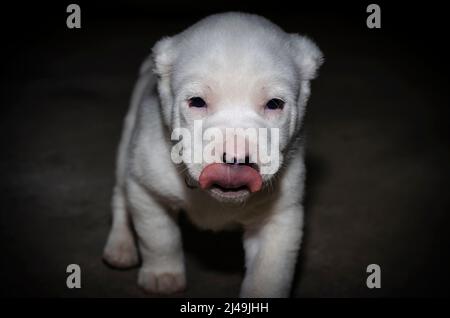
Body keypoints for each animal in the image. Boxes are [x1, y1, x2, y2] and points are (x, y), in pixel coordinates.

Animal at [103, 11, 324, 296]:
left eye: (275, 104)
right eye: (197, 102)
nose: (236, 158)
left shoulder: (280, 219)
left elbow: (268, 271)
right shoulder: (146, 190)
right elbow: (159, 237)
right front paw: (163, 275)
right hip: (126, 151)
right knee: (120, 197)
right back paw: (120, 246)